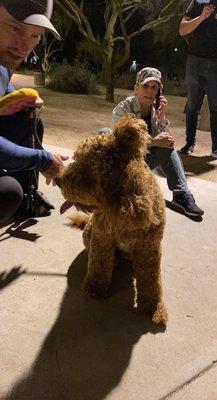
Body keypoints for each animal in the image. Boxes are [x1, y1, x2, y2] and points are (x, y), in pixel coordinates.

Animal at [55, 115, 168, 324]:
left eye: (86, 166)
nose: (58, 179)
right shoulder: (101, 238)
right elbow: (98, 265)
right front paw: (95, 287)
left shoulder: (149, 249)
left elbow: (151, 282)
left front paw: (153, 309)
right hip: (89, 232)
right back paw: (114, 261)